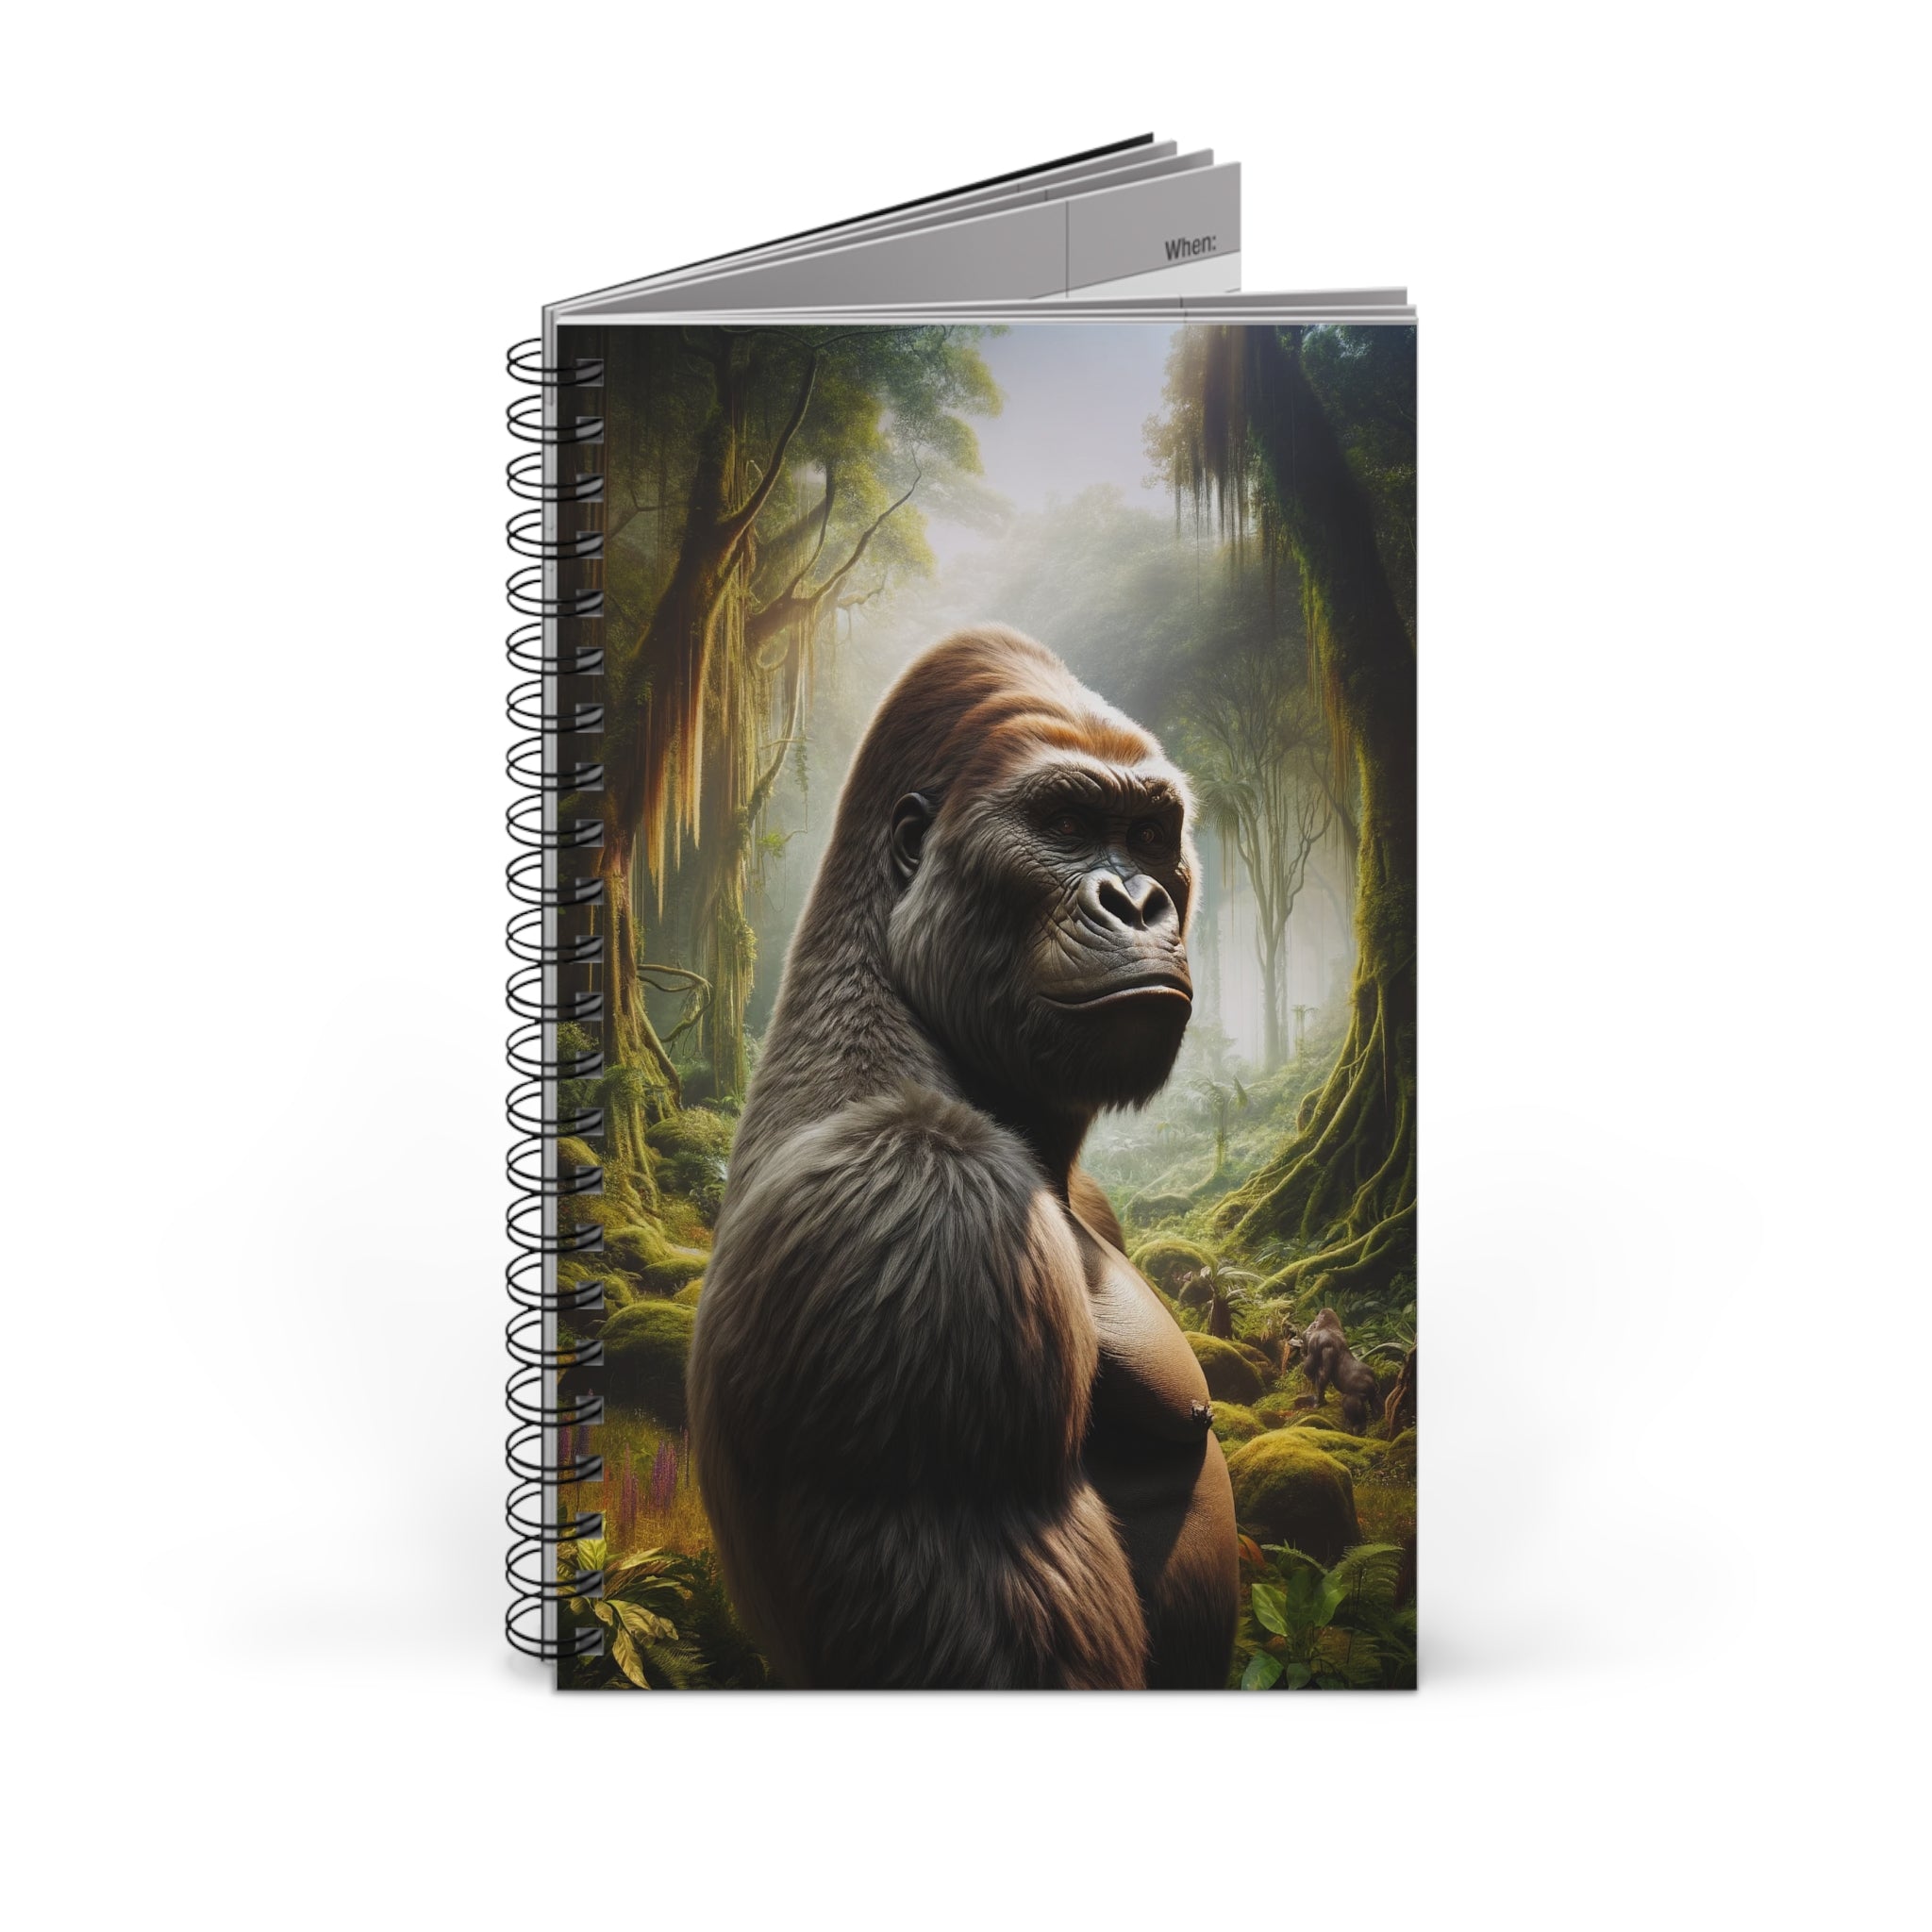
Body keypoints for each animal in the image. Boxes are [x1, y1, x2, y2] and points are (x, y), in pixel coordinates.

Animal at [1298, 1307, 1381, 1433]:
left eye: (1312, 1325)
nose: (1306, 1331)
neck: (1327, 1325)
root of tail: (1372, 1381)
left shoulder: (1318, 1342)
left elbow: (1316, 1372)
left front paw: (1319, 1402)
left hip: (1356, 1394)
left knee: (1348, 1402)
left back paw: (1357, 1426)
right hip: (1373, 1390)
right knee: (1374, 1402)